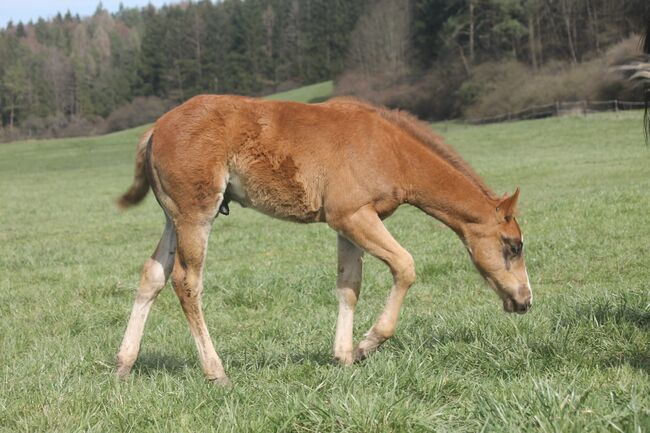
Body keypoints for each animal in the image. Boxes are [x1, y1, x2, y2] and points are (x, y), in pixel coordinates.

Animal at [115, 96, 532, 384]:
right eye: (513, 245)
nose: (525, 300)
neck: (391, 150)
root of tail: (154, 130)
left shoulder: (349, 223)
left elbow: (349, 286)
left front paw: (343, 356)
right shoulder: (352, 215)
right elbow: (405, 266)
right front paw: (366, 345)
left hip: (174, 217)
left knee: (152, 275)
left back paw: (123, 365)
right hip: (196, 213)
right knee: (187, 282)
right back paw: (215, 371)